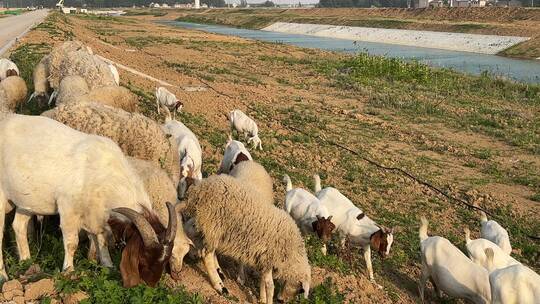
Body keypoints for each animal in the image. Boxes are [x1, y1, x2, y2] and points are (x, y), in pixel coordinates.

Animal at [0, 114, 175, 288]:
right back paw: (4, 276)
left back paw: (26, 263)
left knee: (18, 226)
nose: (150, 284)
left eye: (166, 259)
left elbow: (102, 238)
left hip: (26, 202)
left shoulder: (97, 215)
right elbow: (72, 243)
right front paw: (69, 272)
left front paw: (108, 266)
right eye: (144, 255)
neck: (104, 173)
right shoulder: (68, 209)